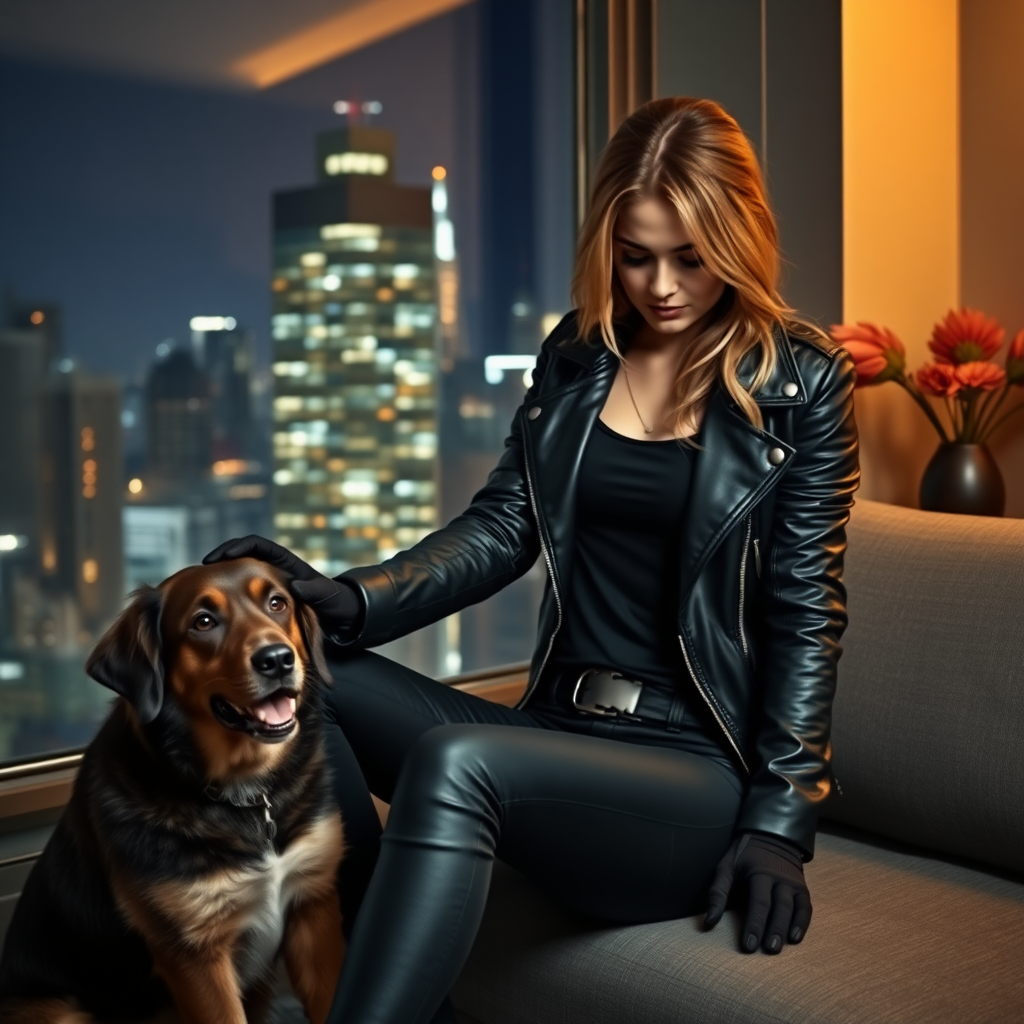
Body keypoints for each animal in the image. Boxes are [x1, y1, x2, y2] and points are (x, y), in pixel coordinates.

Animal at [0, 561, 346, 1024]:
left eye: (277, 603)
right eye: (203, 622)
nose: (277, 659)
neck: (246, 797)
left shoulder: (314, 906)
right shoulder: (194, 957)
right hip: (60, 1013)